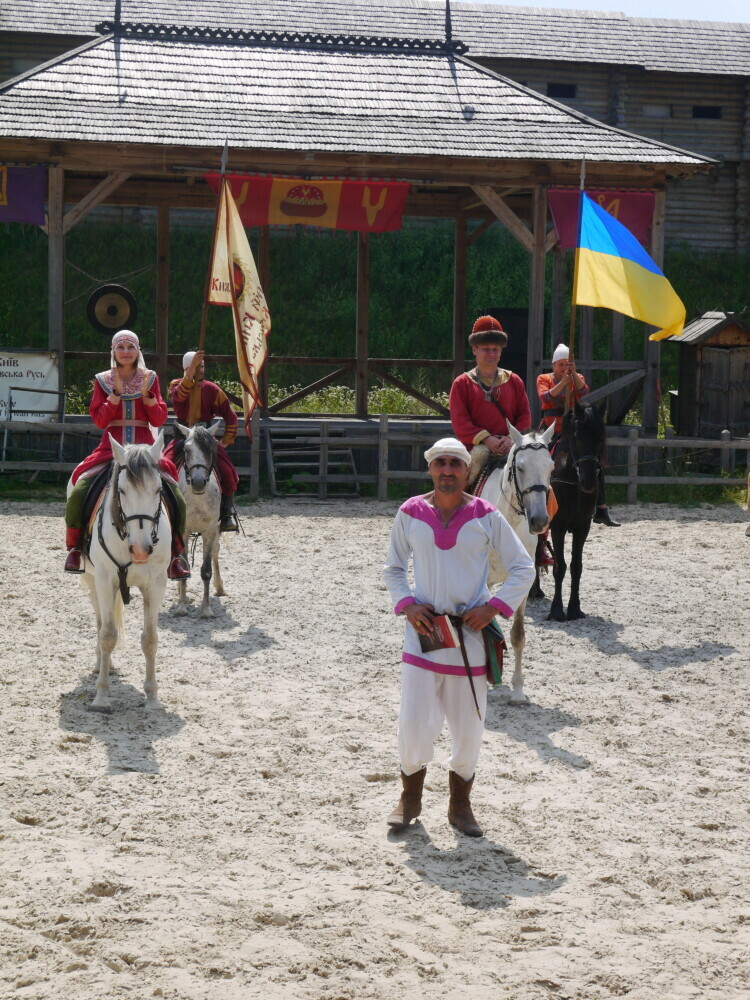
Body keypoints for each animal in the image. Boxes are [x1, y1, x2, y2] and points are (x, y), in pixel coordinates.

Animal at [77, 432, 171, 712]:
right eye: (122, 490)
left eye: (158, 490)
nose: (140, 549)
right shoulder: (105, 580)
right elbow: (107, 635)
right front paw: (101, 697)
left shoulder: (157, 584)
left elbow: (150, 639)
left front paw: (152, 698)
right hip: (92, 581)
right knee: (100, 622)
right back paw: (101, 664)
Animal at [173, 421, 226, 618]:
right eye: (186, 449)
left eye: (209, 449)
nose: (197, 482)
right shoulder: (182, 532)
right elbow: (184, 565)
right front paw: (182, 605)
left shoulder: (210, 531)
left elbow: (206, 570)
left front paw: (206, 609)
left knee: (215, 554)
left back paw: (220, 588)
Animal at [479, 421, 556, 704]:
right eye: (520, 467)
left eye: (550, 466)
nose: (539, 520)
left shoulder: (523, 583)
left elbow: (518, 635)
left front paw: (519, 690)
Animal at [547, 401, 606, 622]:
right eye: (578, 436)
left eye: (600, 437)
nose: (589, 481)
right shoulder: (557, 527)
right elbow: (560, 566)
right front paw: (556, 609)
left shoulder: (583, 527)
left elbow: (576, 566)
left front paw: (574, 608)